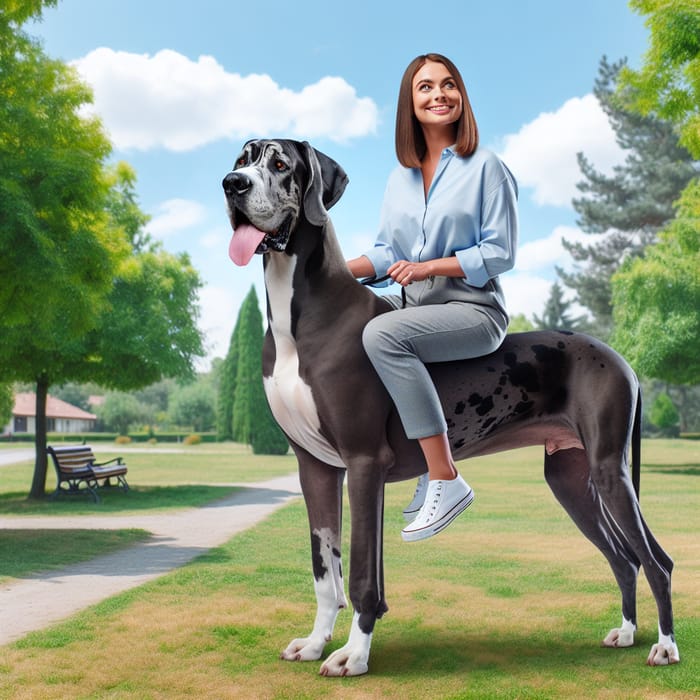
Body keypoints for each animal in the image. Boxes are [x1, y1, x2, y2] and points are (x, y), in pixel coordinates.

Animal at [220, 138, 680, 680]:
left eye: (279, 164)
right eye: (241, 159)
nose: (232, 184)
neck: (303, 318)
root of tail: (623, 359)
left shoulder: (363, 463)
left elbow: (361, 576)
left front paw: (353, 655)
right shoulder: (315, 467)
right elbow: (324, 571)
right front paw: (315, 643)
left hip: (609, 470)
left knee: (657, 561)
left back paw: (665, 646)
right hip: (570, 478)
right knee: (624, 559)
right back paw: (627, 632)